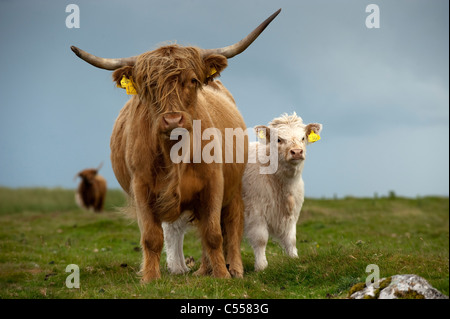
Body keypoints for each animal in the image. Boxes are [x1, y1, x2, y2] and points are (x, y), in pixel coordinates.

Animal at [70, 8, 280, 282]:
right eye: (149, 85)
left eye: (192, 80)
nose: (172, 120)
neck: (174, 153)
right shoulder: (141, 187)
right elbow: (152, 237)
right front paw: (150, 278)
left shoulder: (215, 183)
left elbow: (214, 234)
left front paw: (223, 275)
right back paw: (204, 270)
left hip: (234, 187)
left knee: (232, 225)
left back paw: (233, 268)